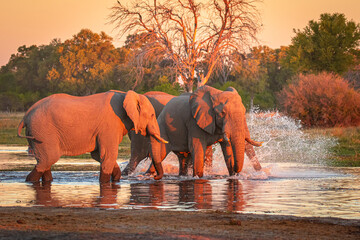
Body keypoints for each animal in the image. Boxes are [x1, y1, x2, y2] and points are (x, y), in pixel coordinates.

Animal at [17, 89, 167, 182]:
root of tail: (26, 115)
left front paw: (116, 179)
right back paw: (29, 181)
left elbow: (98, 155)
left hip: (37, 133)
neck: (127, 94)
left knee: (45, 161)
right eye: (152, 115)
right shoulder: (109, 126)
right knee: (48, 159)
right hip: (43, 131)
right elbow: (108, 155)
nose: (155, 177)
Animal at [126, 86, 262, 178]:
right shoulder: (193, 122)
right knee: (154, 154)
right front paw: (198, 177)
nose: (237, 172)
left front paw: (232, 175)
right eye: (222, 113)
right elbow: (197, 148)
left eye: (244, 112)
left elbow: (226, 147)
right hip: (159, 127)